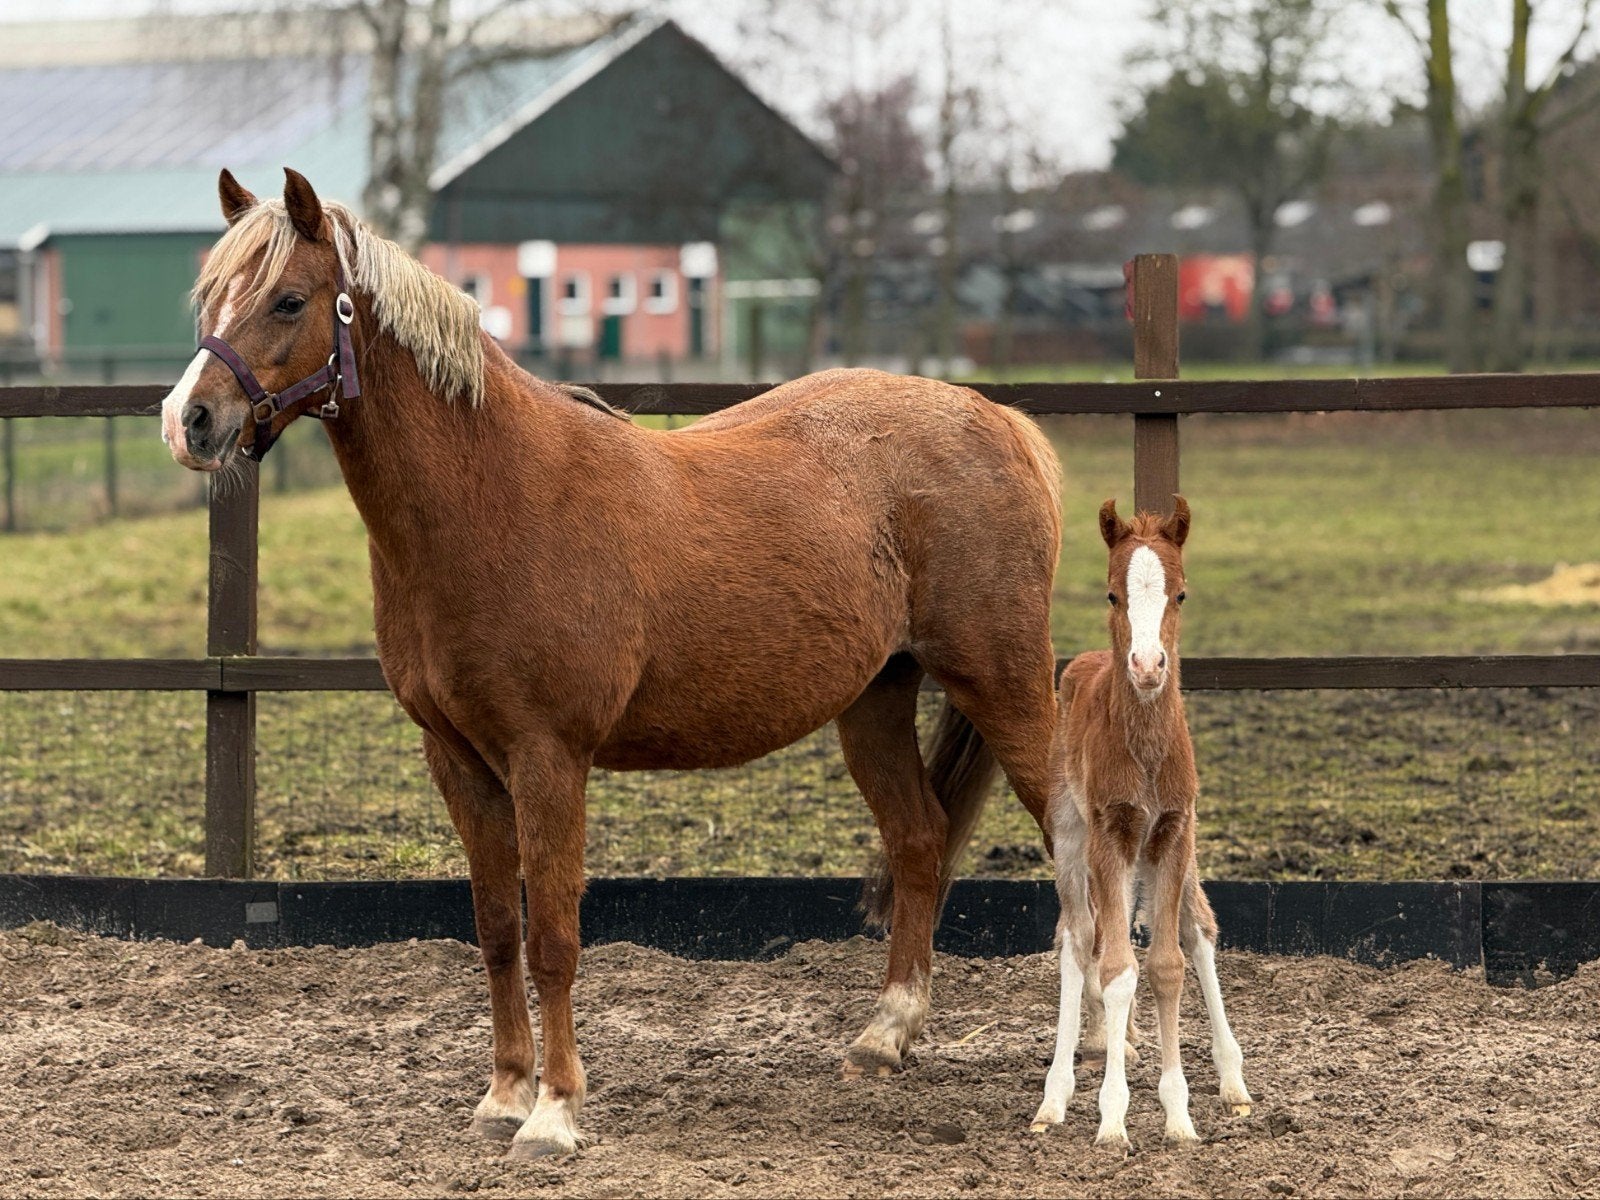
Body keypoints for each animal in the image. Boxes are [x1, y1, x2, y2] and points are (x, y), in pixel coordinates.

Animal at [163, 168, 1063, 1158]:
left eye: (288, 300)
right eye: (209, 296)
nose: (188, 420)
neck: (492, 496)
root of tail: (996, 417)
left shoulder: (549, 758)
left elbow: (555, 936)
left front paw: (555, 1113)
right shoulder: (459, 761)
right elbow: (497, 929)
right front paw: (504, 1095)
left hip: (1006, 685)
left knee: (1081, 844)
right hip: (873, 703)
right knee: (919, 840)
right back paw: (885, 1037)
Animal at [1028, 496, 1251, 1147]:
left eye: (1181, 593)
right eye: (1111, 594)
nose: (1149, 665)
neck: (1148, 752)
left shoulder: (1173, 832)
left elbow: (1169, 962)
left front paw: (1180, 1115)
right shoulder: (1110, 833)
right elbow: (1116, 969)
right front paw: (1112, 1117)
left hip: (1160, 855)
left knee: (1194, 927)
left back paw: (1233, 1079)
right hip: (1074, 838)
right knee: (1078, 940)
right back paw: (1055, 1096)